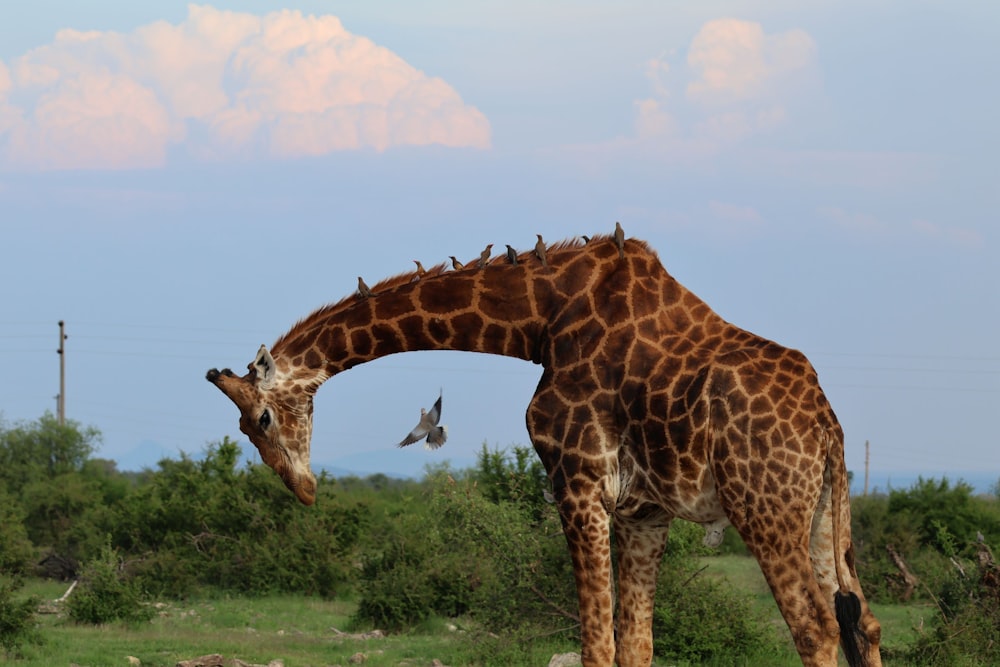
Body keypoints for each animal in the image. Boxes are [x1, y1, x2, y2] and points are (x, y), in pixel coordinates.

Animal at [207, 232, 880, 664]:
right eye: (243, 431)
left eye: (261, 418)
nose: (304, 489)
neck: (538, 323)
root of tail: (826, 426)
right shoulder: (643, 510)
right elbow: (635, 646)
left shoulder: (577, 481)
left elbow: (596, 646)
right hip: (822, 511)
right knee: (862, 622)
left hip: (763, 506)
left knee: (816, 629)